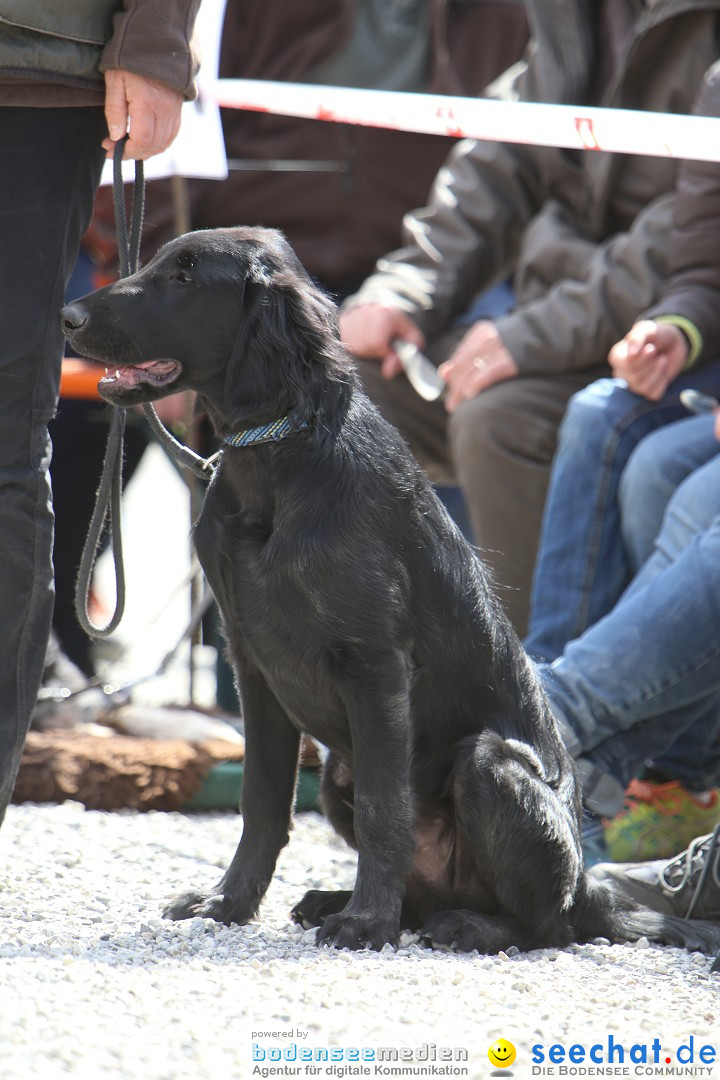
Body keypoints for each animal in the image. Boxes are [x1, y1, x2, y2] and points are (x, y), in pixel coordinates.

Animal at [62, 227, 720, 954]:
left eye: (184, 277)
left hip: (489, 766)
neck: (280, 460)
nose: (67, 318)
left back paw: (462, 924)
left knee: (548, 924)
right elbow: (261, 803)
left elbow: (386, 809)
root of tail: (590, 886)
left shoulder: (374, 664)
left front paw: (366, 923)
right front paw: (228, 903)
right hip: (333, 775)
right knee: (429, 896)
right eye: (155, 260)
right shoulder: (251, 662)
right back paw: (341, 901)